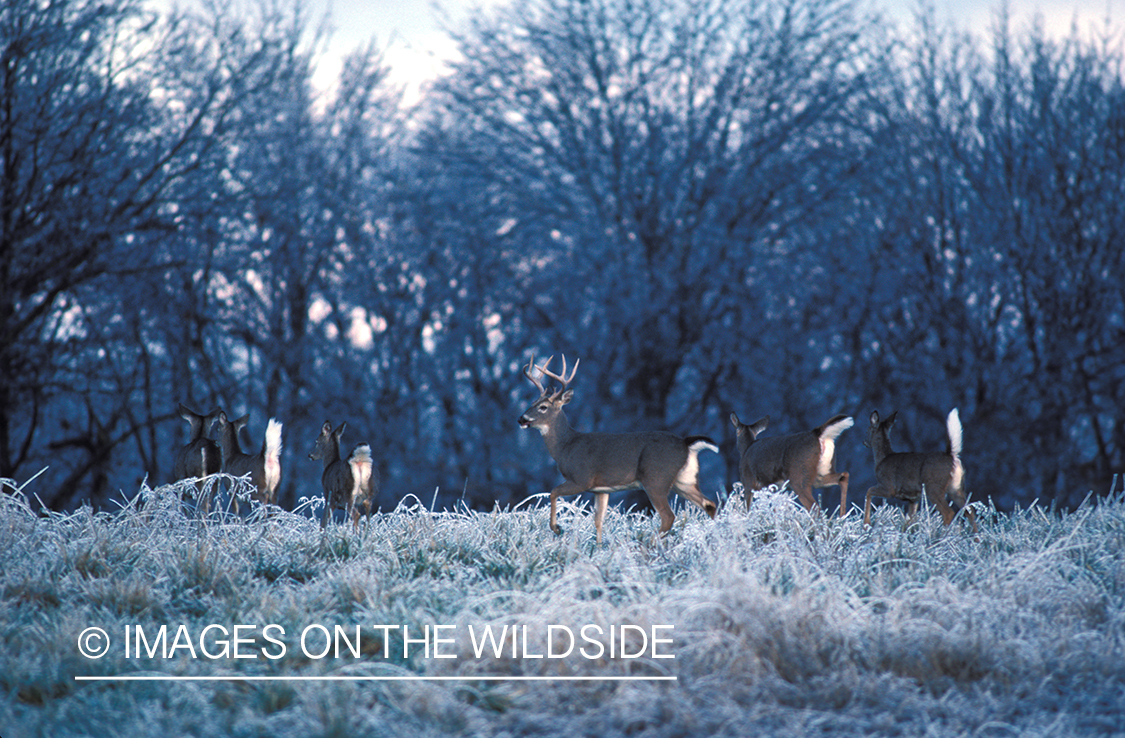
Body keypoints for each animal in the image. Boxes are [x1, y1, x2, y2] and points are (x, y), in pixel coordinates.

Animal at [515, 355, 715, 544]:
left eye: (543, 407)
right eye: (532, 402)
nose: (521, 418)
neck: (566, 446)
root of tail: (685, 443)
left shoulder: (582, 479)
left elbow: (553, 492)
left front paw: (557, 528)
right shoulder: (601, 489)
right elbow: (598, 520)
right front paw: (599, 547)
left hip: (656, 479)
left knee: (668, 516)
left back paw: (647, 546)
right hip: (684, 480)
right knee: (709, 504)